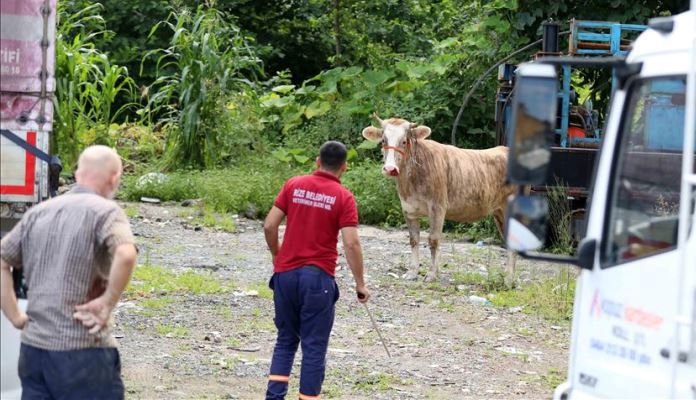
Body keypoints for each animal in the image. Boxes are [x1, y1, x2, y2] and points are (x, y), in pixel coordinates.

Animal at [364, 114, 516, 282]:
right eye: (383, 141)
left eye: (404, 141)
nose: (390, 169)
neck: (410, 182)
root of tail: (504, 148)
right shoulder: (408, 209)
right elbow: (414, 240)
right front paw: (412, 272)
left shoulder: (437, 207)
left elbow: (434, 240)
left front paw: (431, 274)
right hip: (499, 212)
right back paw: (508, 277)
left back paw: (510, 279)